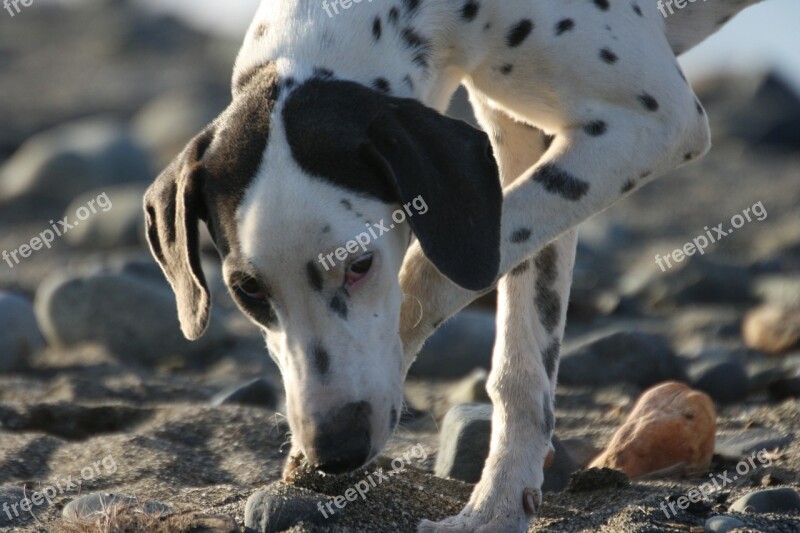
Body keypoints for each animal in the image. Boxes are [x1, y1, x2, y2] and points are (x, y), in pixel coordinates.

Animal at [145, 0, 768, 528]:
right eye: (248, 290)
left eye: (360, 264)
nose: (334, 452)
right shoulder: (530, 139)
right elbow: (523, 360)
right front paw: (500, 505)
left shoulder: (651, 123)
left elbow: (428, 274)